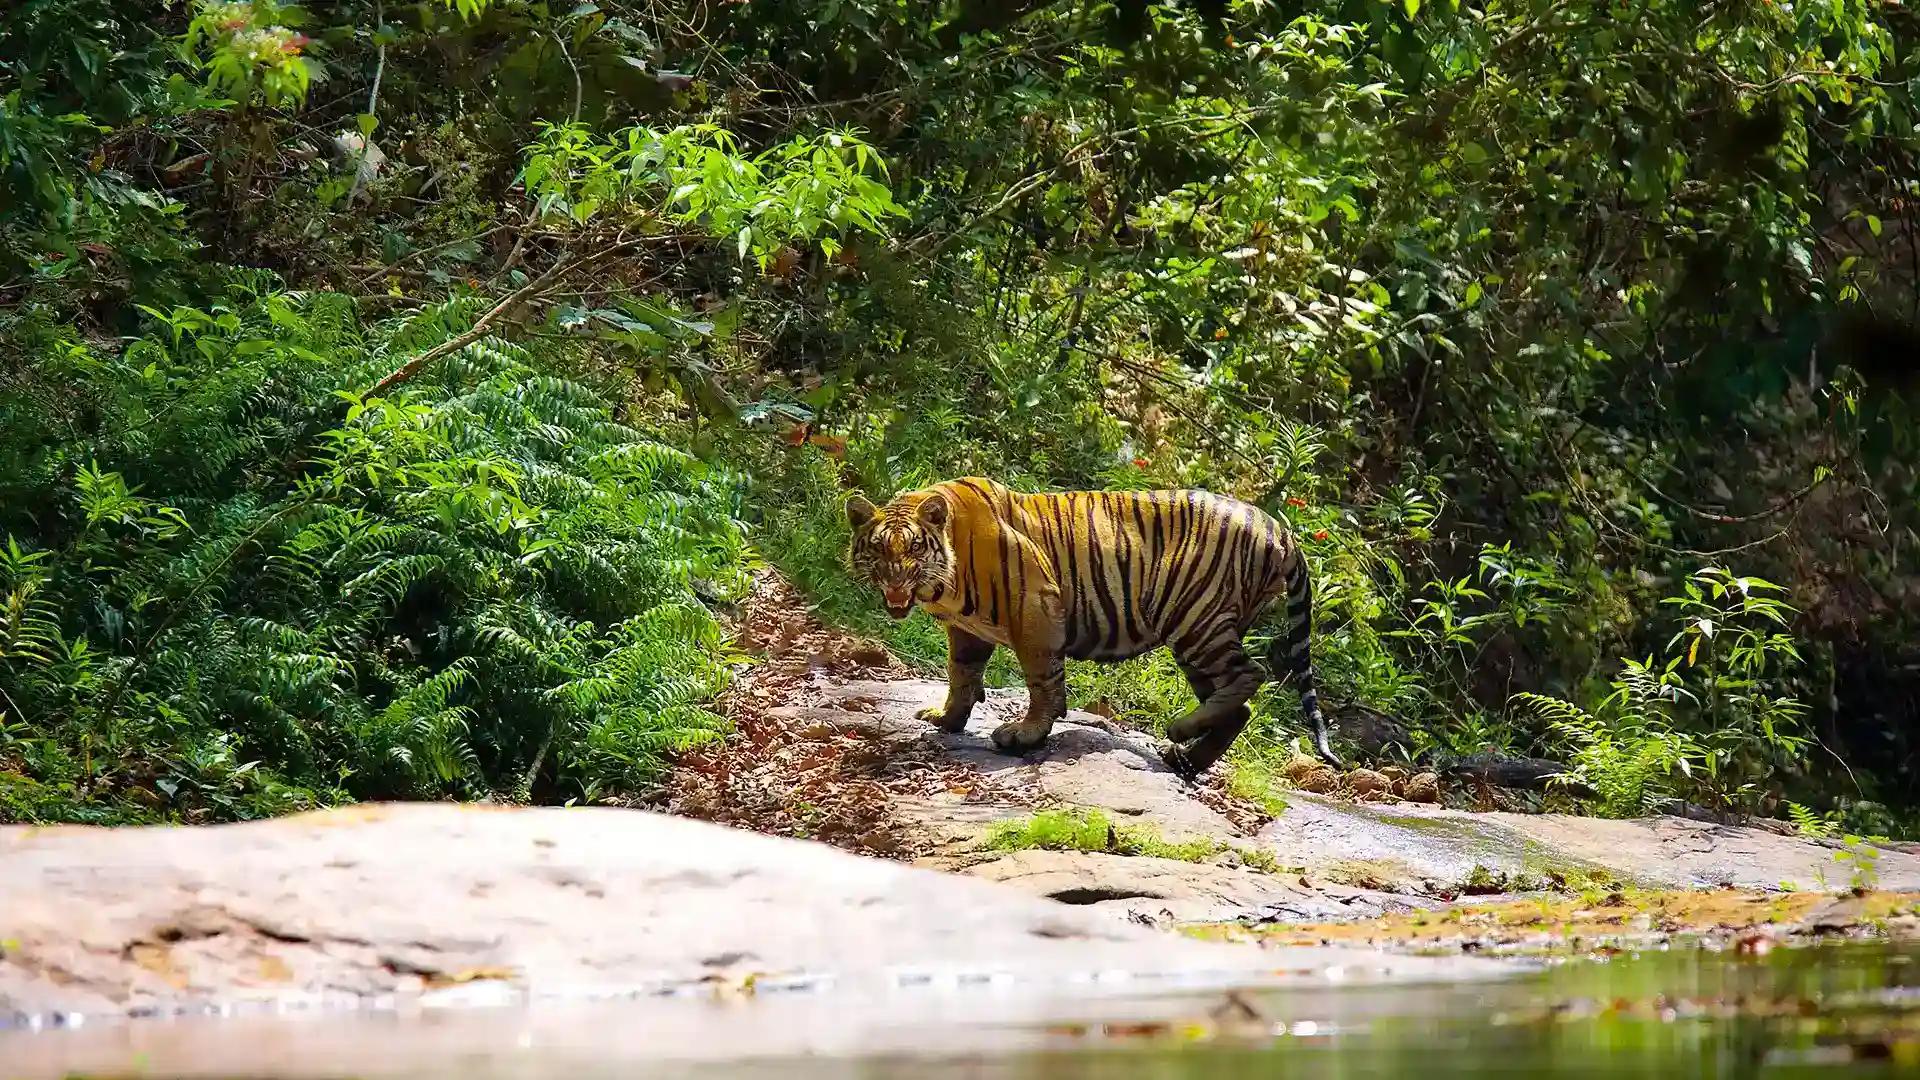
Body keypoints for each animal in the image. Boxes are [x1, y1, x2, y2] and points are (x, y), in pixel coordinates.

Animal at [845, 476, 1334, 777]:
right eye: (879, 550)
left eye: (914, 549)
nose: (895, 582)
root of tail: (1282, 530)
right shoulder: (969, 631)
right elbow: (961, 674)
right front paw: (946, 719)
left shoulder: (1036, 608)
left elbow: (1042, 681)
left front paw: (1025, 735)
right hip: (1200, 634)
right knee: (1240, 705)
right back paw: (1187, 759)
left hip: (1197, 619)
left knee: (1252, 674)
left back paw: (1178, 732)